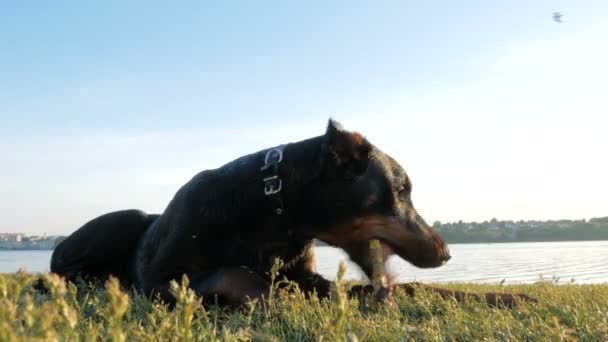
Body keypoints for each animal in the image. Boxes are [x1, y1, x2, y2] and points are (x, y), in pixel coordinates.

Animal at [47, 119, 536, 308]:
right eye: (401, 191)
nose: (447, 252)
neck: (276, 216)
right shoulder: (158, 279)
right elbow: (238, 276)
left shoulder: (306, 273)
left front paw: (512, 298)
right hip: (121, 223)